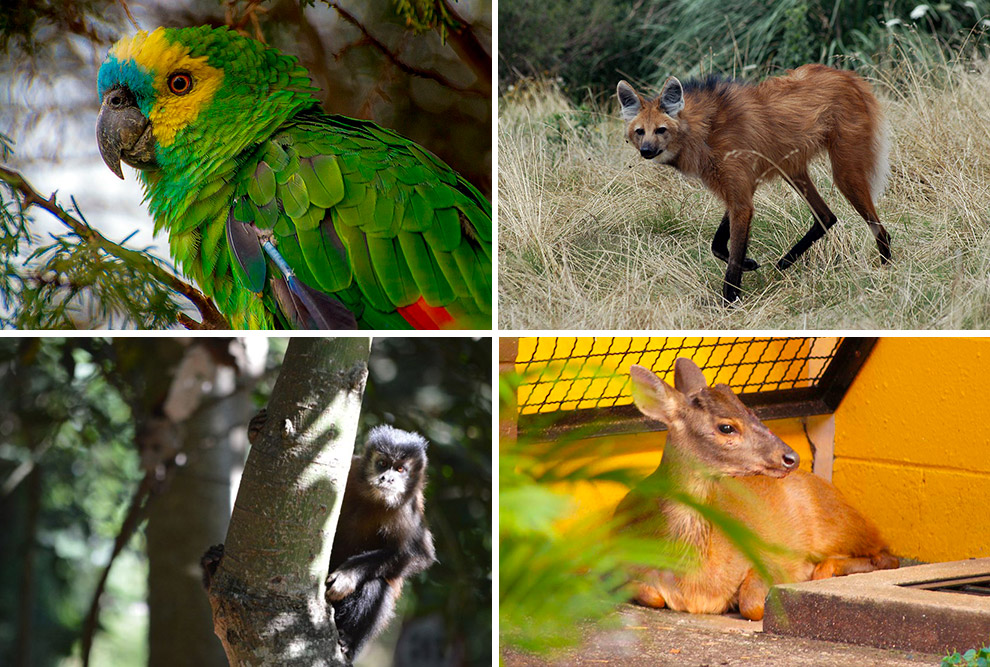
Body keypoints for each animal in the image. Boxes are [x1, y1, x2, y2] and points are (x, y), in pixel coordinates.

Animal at [328, 426, 436, 660]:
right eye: (383, 464)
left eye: (400, 469)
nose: (388, 479)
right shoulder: (352, 470)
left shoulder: (408, 508)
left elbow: (420, 555)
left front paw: (348, 575)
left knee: (376, 585)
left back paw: (349, 643)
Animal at [616, 360, 904, 620]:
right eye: (727, 427)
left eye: (751, 411)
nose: (791, 457)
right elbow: (649, 594)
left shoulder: (766, 556)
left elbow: (752, 604)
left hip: (838, 525)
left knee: (887, 555)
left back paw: (824, 570)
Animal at [620, 64, 892, 302]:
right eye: (640, 132)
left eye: (661, 130)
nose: (646, 151)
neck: (705, 132)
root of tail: (848, 76)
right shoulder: (739, 190)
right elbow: (718, 245)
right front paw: (748, 264)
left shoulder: (741, 198)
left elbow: (731, 261)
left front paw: (730, 303)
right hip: (791, 169)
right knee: (826, 217)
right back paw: (785, 261)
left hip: (845, 173)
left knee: (880, 230)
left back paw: (886, 270)